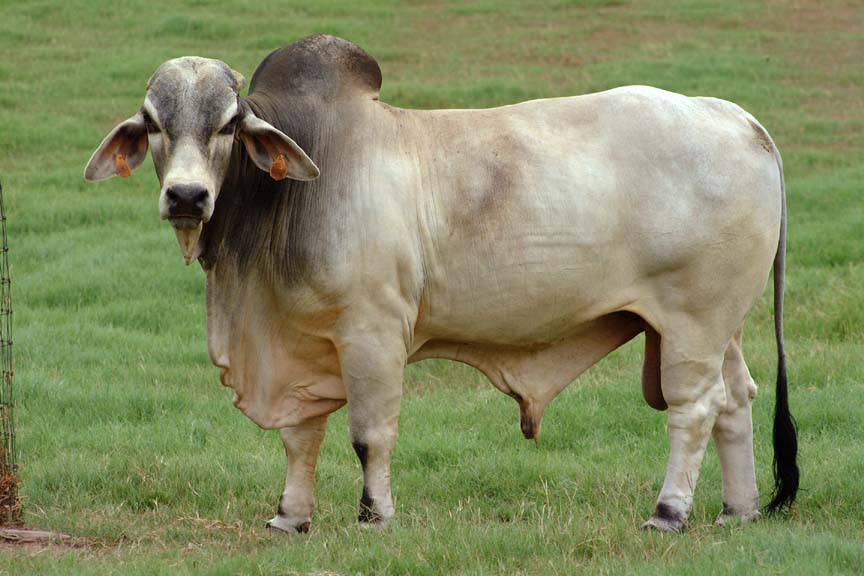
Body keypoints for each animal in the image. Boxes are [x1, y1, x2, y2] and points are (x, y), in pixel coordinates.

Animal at [84, 34, 798, 534]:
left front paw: (374, 516)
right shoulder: (301, 343)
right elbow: (300, 437)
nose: (186, 196)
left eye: (230, 124)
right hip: (720, 324)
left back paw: (669, 512)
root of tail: (738, 120)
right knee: (736, 400)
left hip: (693, 321)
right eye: (152, 122)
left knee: (694, 407)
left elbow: (369, 433)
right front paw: (290, 516)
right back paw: (737, 510)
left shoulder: (372, 333)